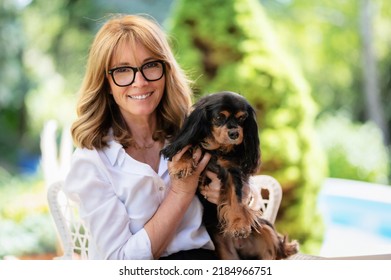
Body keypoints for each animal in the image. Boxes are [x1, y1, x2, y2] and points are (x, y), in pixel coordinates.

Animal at [161, 92, 298, 260]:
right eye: (219, 117)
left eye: (242, 118)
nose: (234, 133)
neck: (216, 150)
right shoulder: (196, 146)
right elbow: (186, 147)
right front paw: (181, 165)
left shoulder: (232, 172)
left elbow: (235, 199)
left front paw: (239, 225)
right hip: (226, 251)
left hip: (264, 228)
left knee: (275, 250)